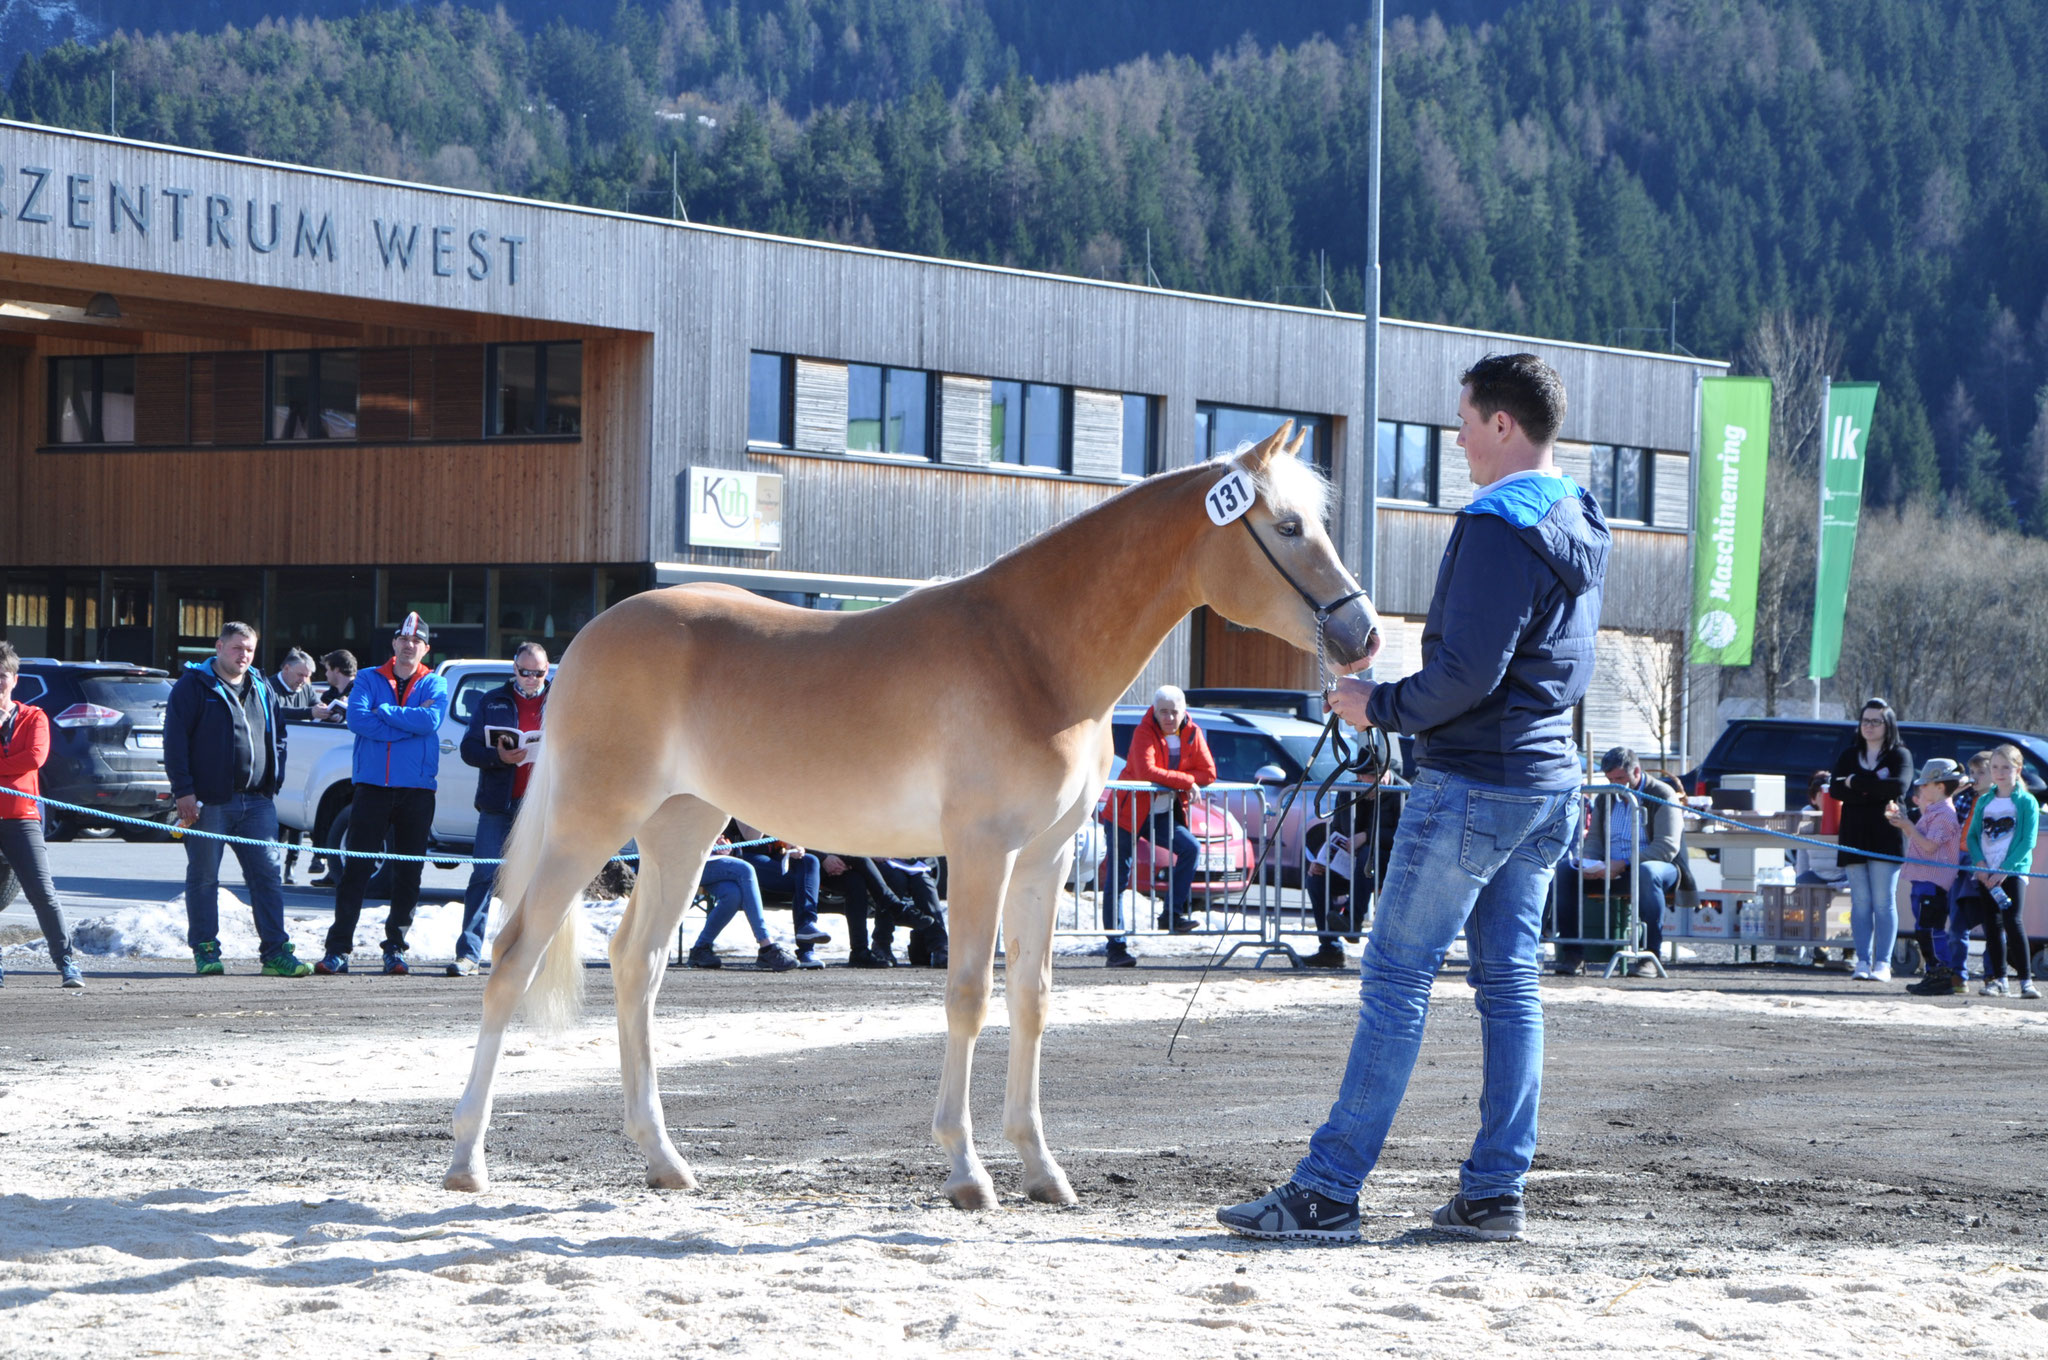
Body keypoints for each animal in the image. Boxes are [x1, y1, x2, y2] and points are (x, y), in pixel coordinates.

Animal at [444, 419, 1376, 1204]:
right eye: (1287, 527)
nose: (1364, 635)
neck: (1032, 654)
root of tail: (590, 639)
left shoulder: (1045, 858)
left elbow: (1033, 997)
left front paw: (1042, 1168)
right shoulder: (982, 850)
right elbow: (968, 992)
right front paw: (966, 1171)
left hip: (683, 828)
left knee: (638, 965)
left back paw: (664, 1159)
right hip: (590, 822)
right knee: (513, 956)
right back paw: (467, 1161)